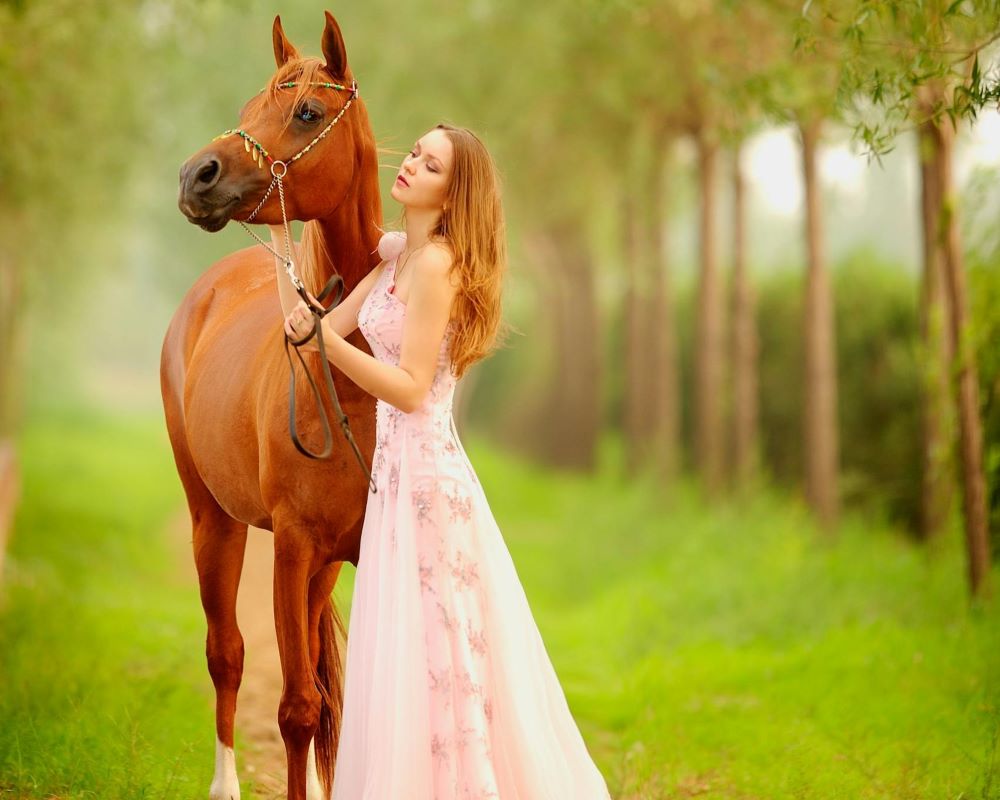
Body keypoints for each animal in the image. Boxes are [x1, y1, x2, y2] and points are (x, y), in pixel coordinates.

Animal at [164, 12, 382, 800]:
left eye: (307, 111)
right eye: (252, 103)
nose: (197, 175)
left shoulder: (343, 556)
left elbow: (333, 701)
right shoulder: (292, 548)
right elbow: (295, 708)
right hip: (215, 523)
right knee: (226, 654)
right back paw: (225, 783)